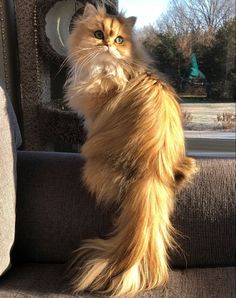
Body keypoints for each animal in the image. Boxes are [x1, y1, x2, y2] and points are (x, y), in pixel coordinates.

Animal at [65, 1, 196, 296]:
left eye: (119, 40)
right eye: (98, 34)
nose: (108, 45)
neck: (109, 70)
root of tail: (152, 171)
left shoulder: (94, 116)